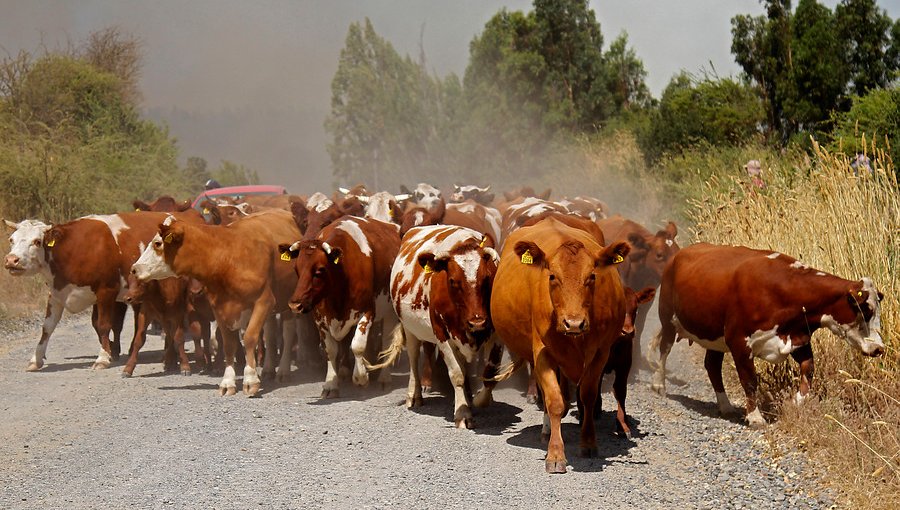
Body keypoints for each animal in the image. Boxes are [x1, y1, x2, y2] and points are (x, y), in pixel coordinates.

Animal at [130, 209, 300, 396]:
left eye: (158, 243)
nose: (134, 269)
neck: (227, 257)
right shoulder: (219, 307)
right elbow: (228, 344)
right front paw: (228, 382)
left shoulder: (263, 301)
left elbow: (249, 338)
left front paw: (250, 380)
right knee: (270, 334)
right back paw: (269, 369)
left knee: (287, 333)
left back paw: (283, 370)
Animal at [278, 215, 398, 398]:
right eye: (296, 268)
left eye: (319, 270)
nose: (294, 304)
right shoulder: (320, 318)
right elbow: (331, 350)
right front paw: (331, 384)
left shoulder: (368, 311)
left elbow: (357, 345)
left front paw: (361, 377)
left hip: (390, 312)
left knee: (386, 342)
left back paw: (384, 378)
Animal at [370, 225, 502, 428]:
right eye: (453, 281)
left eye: (487, 278)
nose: (477, 322)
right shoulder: (442, 335)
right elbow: (456, 374)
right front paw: (462, 413)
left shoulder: (495, 335)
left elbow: (489, 374)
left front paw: (478, 400)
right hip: (410, 329)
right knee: (414, 358)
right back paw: (414, 395)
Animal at [488, 217, 628, 472]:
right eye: (552, 276)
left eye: (592, 276)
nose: (574, 323)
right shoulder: (542, 352)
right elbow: (554, 401)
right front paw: (555, 454)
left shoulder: (601, 353)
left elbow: (588, 395)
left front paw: (589, 443)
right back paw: (546, 430)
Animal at [652, 243, 884, 426]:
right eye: (866, 310)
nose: (879, 348)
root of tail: (682, 252)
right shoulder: (739, 341)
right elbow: (749, 380)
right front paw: (755, 417)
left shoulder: (798, 338)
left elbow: (808, 370)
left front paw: (795, 403)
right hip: (667, 318)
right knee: (664, 349)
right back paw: (659, 385)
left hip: (714, 337)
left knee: (712, 365)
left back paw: (725, 406)